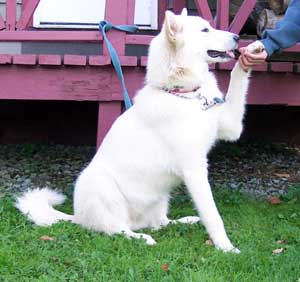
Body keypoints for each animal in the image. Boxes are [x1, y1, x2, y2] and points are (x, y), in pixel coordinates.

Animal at [17, 9, 260, 253]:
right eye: (204, 30)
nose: (238, 38)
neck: (184, 94)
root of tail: (77, 217)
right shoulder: (195, 169)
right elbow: (213, 215)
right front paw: (226, 247)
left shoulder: (232, 127)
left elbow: (237, 80)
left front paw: (252, 53)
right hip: (102, 186)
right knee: (116, 230)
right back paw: (141, 238)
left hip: (161, 197)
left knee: (160, 223)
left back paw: (185, 221)